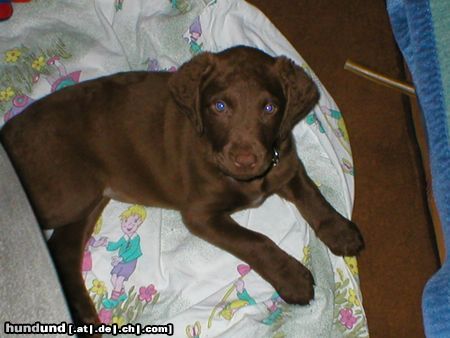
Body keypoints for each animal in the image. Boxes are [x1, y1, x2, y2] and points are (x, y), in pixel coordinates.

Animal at [0, 46, 362, 330]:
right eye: (219, 107)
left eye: (270, 108)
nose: (245, 160)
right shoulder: (200, 214)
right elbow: (256, 241)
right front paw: (292, 278)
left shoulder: (284, 163)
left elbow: (313, 196)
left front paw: (340, 230)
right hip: (70, 194)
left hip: (88, 202)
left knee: (63, 252)